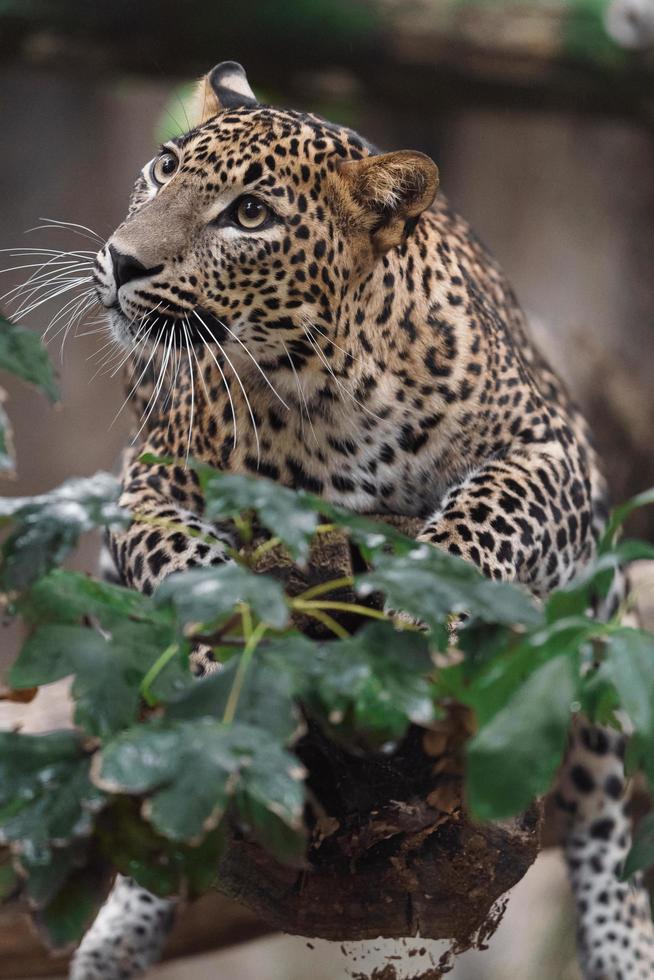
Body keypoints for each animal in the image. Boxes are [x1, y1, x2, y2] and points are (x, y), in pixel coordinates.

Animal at [69, 63, 652, 980]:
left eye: (249, 214)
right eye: (164, 169)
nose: (124, 261)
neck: (313, 391)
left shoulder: (559, 453)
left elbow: (493, 504)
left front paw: (424, 601)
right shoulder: (147, 482)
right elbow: (178, 562)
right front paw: (222, 643)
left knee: (601, 810)